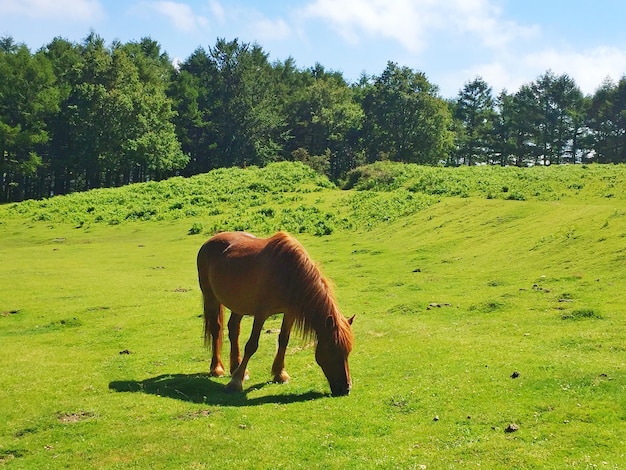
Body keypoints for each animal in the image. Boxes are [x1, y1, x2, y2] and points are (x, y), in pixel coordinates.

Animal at [196, 231, 352, 396]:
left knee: (234, 329)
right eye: (332, 350)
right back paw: (217, 369)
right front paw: (235, 382)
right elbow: (251, 345)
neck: (287, 273)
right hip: (210, 297)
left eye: (348, 351)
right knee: (216, 330)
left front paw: (280, 374)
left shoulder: (290, 312)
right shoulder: (261, 314)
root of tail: (211, 240)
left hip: (238, 304)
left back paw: (236, 368)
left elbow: (284, 340)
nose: (346, 389)